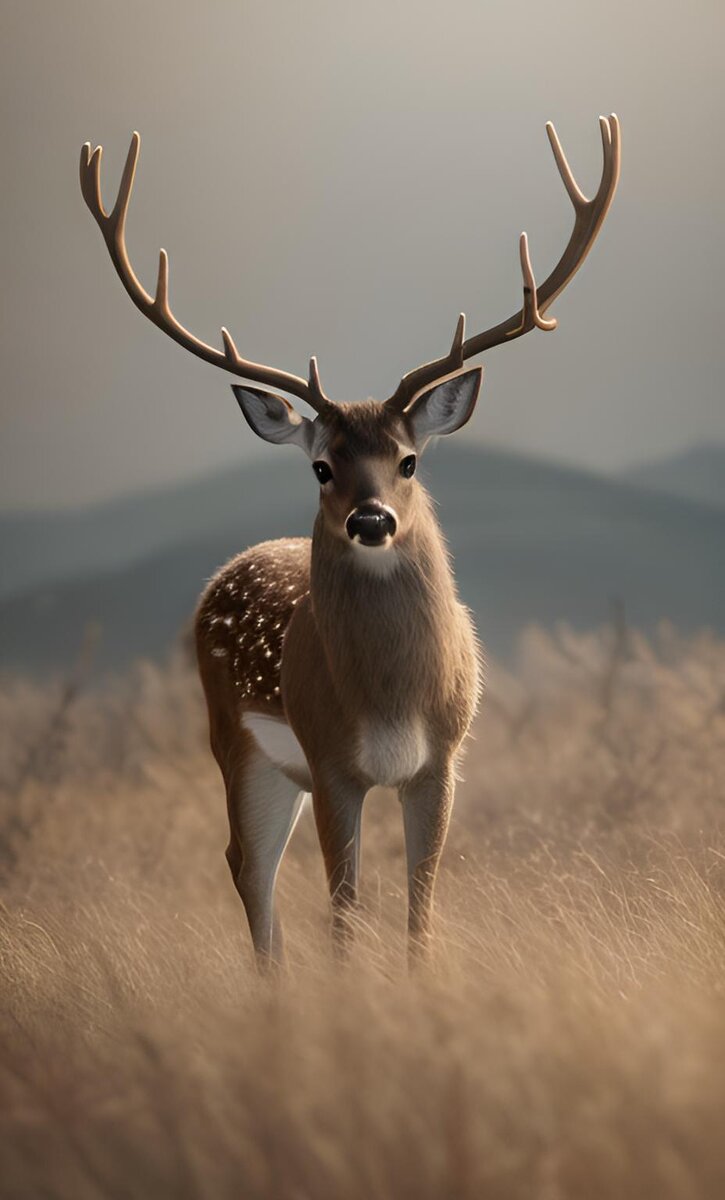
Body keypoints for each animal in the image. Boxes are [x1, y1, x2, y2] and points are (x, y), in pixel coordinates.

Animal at [80, 117, 624, 969]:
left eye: (407, 459)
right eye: (321, 465)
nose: (371, 521)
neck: (391, 701)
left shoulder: (442, 760)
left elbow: (418, 912)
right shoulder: (331, 757)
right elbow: (343, 913)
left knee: (256, 867)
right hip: (234, 736)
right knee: (248, 865)